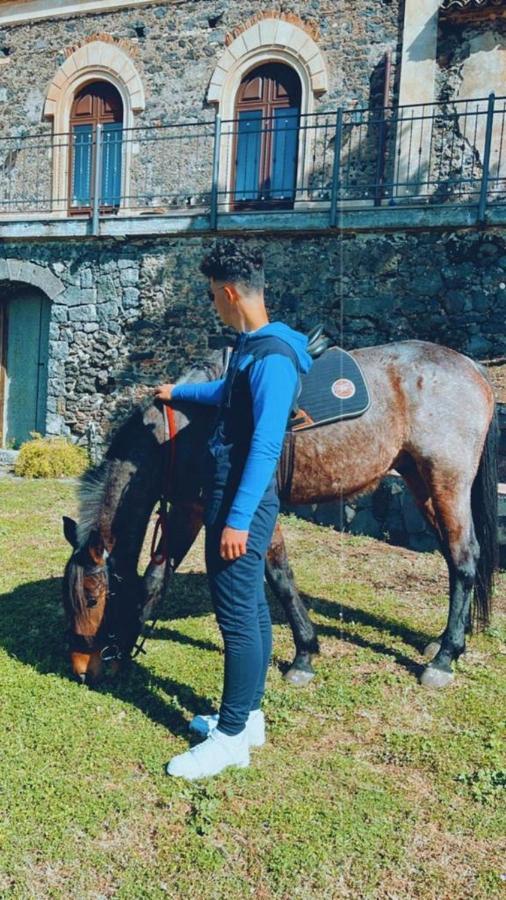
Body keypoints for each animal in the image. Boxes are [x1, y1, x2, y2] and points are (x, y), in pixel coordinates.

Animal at [63, 338, 498, 688]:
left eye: (91, 598)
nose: (83, 667)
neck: (185, 430)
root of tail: (470, 365)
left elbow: (280, 576)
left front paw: (304, 655)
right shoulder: (189, 509)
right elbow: (155, 578)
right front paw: (127, 648)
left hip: (446, 481)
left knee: (463, 558)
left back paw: (445, 658)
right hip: (421, 483)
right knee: (455, 557)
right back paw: (444, 642)